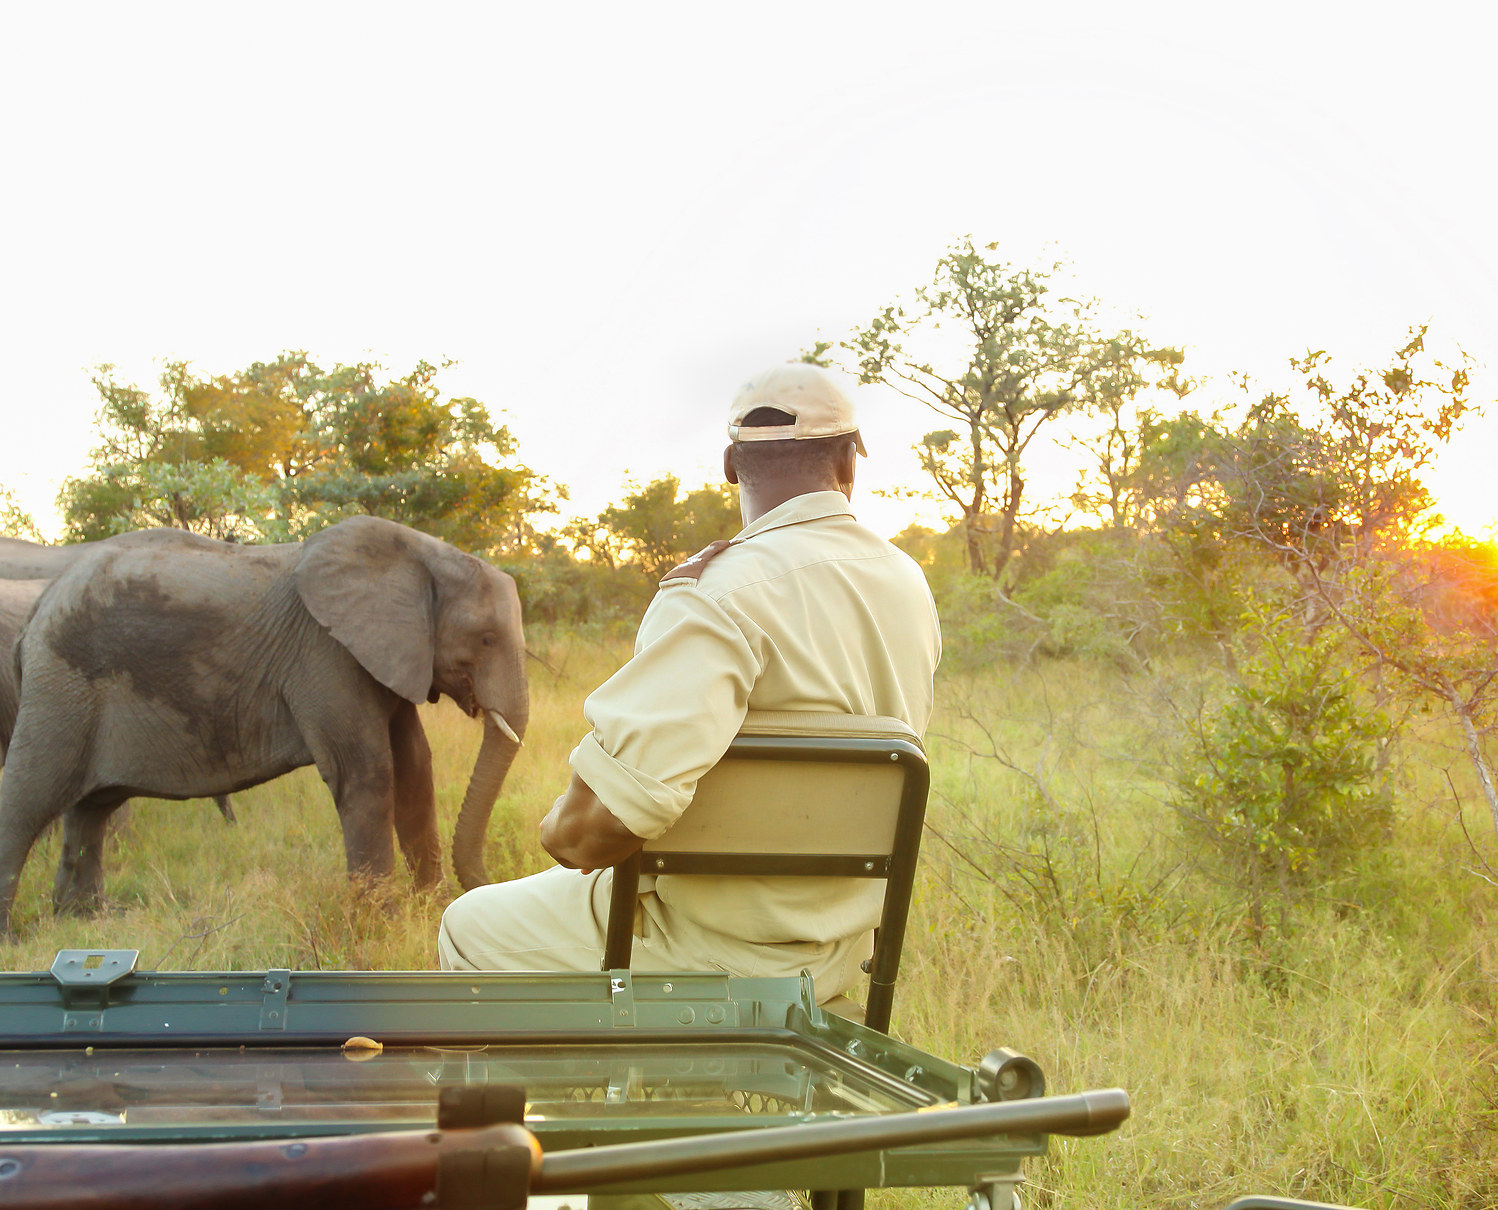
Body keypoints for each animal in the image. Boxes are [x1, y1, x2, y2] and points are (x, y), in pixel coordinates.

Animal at [0, 516, 528, 932]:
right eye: (485, 638)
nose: (487, 890)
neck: (425, 553)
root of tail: (36, 613)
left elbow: (416, 766)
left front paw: (433, 910)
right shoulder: (325, 653)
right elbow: (369, 771)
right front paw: (385, 924)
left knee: (90, 809)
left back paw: (86, 921)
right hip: (61, 685)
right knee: (29, 798)